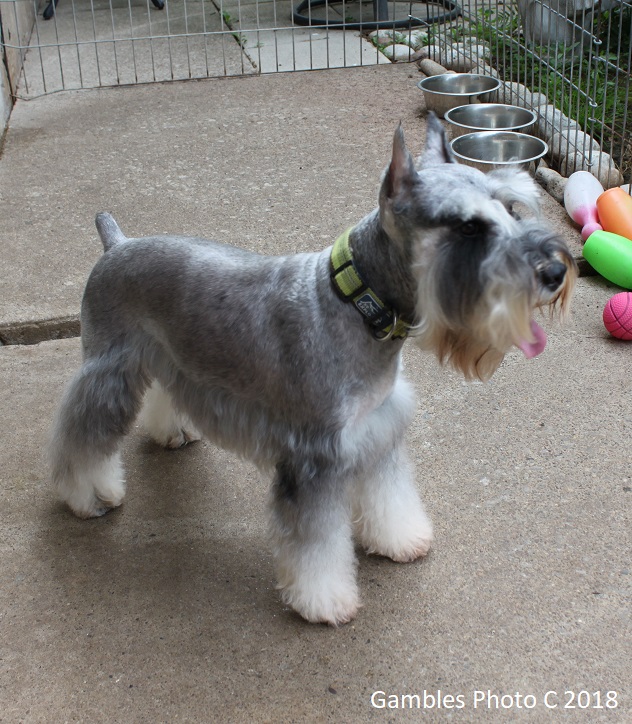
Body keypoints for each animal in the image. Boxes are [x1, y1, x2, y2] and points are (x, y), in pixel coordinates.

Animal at [49, 116, 576, 624]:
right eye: (467, 228)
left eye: (510, 209)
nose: (555, 272)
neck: (357, 303)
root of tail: (115, 245)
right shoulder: (314, 458)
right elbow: (316, 544)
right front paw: (324, 601)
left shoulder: (379, 431)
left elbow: (389, 496)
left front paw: (401, 538)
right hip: (108, 373)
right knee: (82, 436)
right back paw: (88, 495)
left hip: (172, 357)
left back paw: (173, 430)